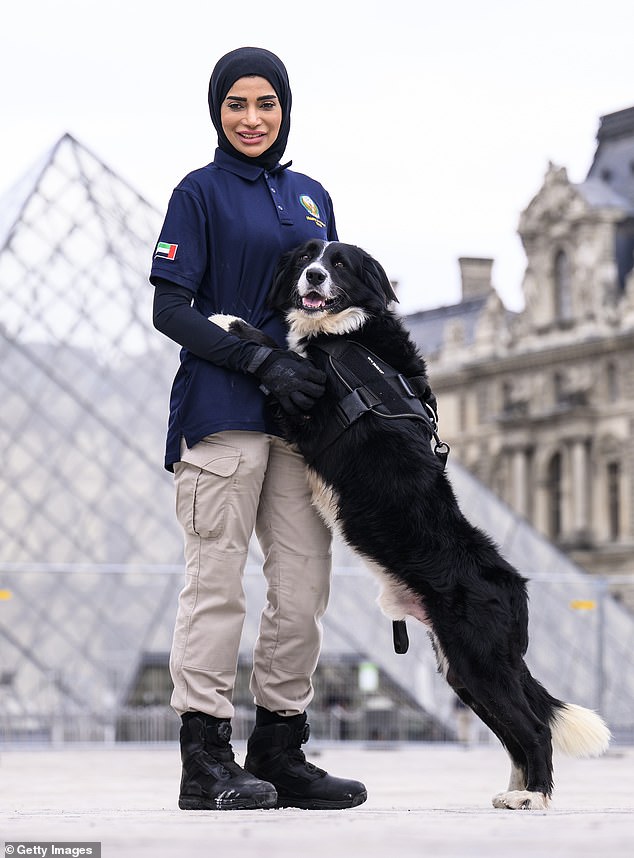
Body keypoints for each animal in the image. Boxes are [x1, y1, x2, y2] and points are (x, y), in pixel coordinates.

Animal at [211, 241, 608, 808]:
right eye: (309, 257)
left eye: (340, 264)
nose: (314, 275)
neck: (350, 338)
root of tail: (516, 588)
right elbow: (284, 354)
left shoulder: (307, 412)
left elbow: (280, 358)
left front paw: (231, 324)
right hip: (463, 672)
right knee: (514, 733)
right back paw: (513, 792)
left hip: (479, 661)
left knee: (533, 730)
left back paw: (534, 797)